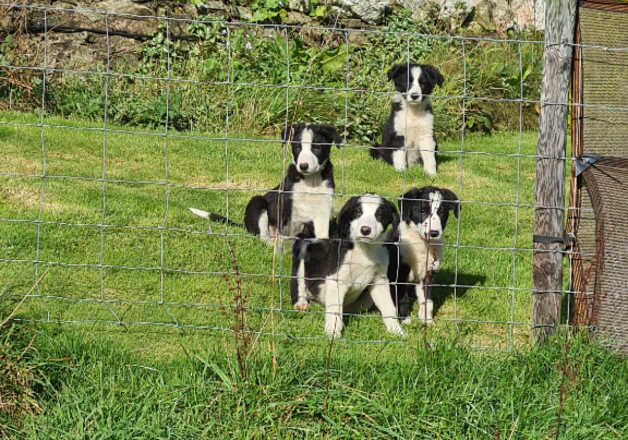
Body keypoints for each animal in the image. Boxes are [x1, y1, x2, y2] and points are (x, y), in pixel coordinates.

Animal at [189, 122, 340, 242]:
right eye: (298, 148)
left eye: (317, 148)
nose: (303, 166)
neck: (311, 180)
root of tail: (245, 225)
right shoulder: (285, 202)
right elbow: (283, 227)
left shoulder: (324, 206)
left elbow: (322, 233)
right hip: (257, 203)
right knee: (262, 237)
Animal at [290, 194, 408, 338]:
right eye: (357, 213)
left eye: (380, 215)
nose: (365, 230)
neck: (364, 249)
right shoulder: (336, 279)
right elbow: (334, 310)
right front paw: (332, 333)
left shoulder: (379, 280)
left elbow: (389, 307)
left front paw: (396, 330)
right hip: (304, 251)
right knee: (300, 281)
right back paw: (301, 303)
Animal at [388, 185, 462, 324]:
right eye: (422, 211)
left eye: (442, 213)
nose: (434, 233)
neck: (422, 244)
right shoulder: (399, 273)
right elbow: (402, 298)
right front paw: (405, 320)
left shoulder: (428, 274)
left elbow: (427, 301)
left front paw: (427, 320)